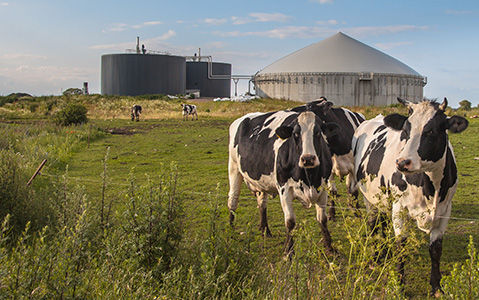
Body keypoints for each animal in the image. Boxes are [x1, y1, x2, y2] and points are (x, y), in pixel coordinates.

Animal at [229, 109, 342, 256]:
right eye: (295, 134)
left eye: (318, 133)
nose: (308, 159)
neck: (309, 178)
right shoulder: (284, 189)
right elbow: (290, 221)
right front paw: (288, 251)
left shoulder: (322, 187)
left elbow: (322, 219)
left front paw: (330, 247)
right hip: (234, 168)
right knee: (232, 200)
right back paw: (230, 231)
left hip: (261, 184)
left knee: (262, 204)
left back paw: (265, 230)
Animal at [354, 97, 470, 294]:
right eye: (405, 131)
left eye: (431, 131)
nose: (402, 163)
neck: (431, 188)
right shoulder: (400, 209)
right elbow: (402, 246)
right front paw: (400, 286)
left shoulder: (445, 211)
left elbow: (436, 249)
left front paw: (436, 286)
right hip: (368, 197)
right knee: (373, 224)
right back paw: (376, 257)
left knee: (383, 222)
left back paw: (384, 253)